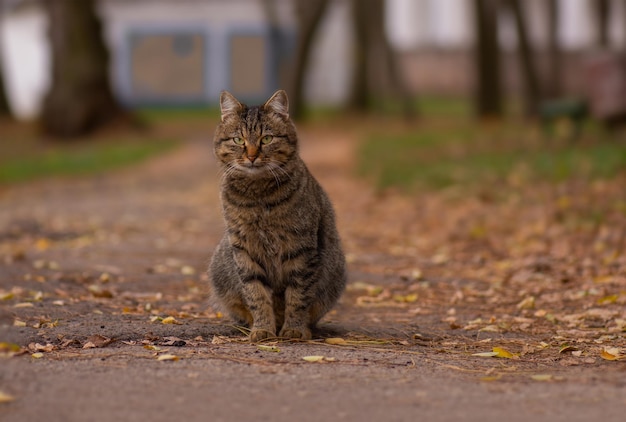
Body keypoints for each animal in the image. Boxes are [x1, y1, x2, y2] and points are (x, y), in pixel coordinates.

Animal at [208, 90, 346, 342]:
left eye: (266, 139)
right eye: (239, 140)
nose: (252, 156)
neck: (258, 195)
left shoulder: (301, 248)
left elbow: (298, 296)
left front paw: (294, 329)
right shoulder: (243, 249)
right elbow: (256, 293)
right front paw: (262, 328)